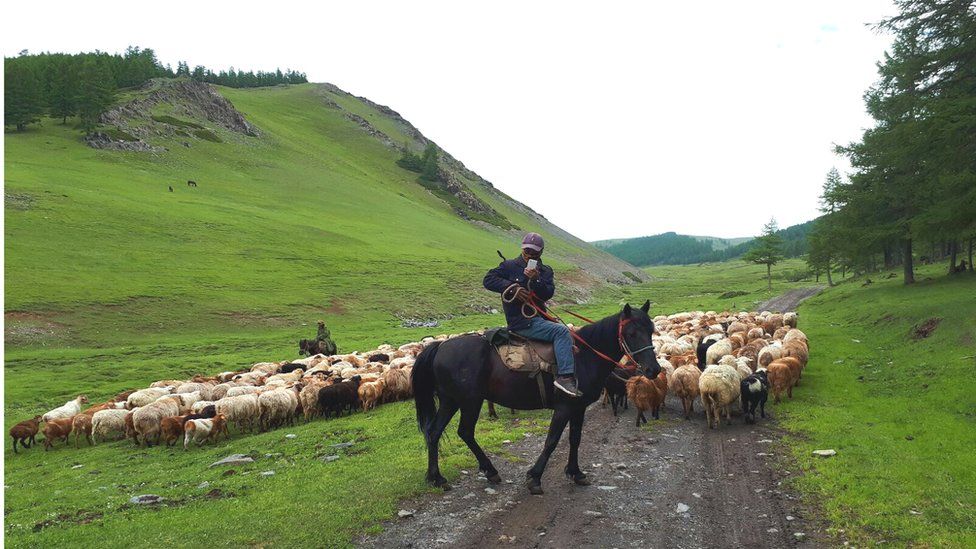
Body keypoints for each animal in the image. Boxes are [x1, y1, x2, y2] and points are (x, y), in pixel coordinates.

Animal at [408, 300, 660, 492]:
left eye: (650, 331)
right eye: (631, 333)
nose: (653, 370)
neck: (584, 356)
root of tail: (440, 346)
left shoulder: (579, 407)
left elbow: (575, 439)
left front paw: (576, 473)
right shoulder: (564, 407)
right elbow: (552, 441)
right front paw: (535, 477)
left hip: (450, 401)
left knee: (434, 432)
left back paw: (436, 477)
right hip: (470, 401)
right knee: (465, 432)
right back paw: (489, 470)